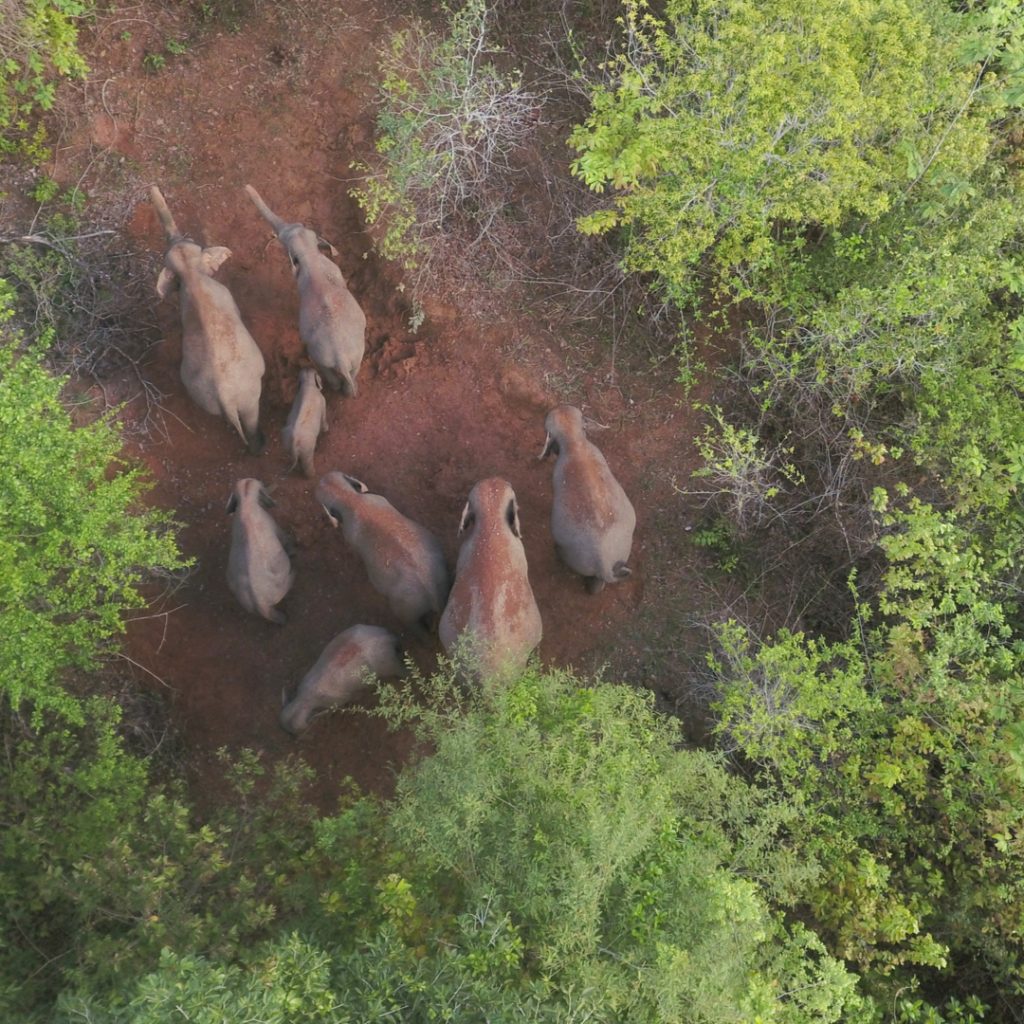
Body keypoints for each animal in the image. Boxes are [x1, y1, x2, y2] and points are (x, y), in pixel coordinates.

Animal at [150, 186, 266, 454]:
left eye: (191, 242)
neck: (191, 275)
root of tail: (226, 398)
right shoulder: (226, 294)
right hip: (249, 394)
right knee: (252, 416)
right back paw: (258, 445)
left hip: (203, 397)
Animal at [244, 184, 366, 395]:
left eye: (283, 240)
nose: (246, 186)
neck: (310, 255)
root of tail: (341, 357)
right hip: (337, 356)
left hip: (337, 355)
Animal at [316, 471, 451, 633]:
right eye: (340, 474)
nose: (322, 476)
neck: (349, 498)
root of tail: (431, 592)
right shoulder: (379, 498)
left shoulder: (349, 534)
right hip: (444, 584)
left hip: (406, 610)